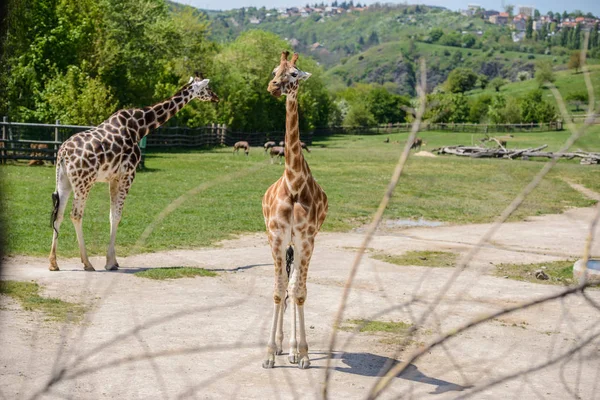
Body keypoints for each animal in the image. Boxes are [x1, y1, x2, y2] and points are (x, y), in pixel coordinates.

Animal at [48, 74, 218, 272]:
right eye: (207, 88)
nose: (216, 97)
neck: (140, 127)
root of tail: (63, 153)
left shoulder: (114, 178)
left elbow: (112, 215)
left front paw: (113, 260)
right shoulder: (128, 175)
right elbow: (117, 216)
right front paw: (110, 262)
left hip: (64, 180)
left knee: (58, 214)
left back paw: (53, 263)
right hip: (84, 182)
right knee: (75, 215)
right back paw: (87, 263)